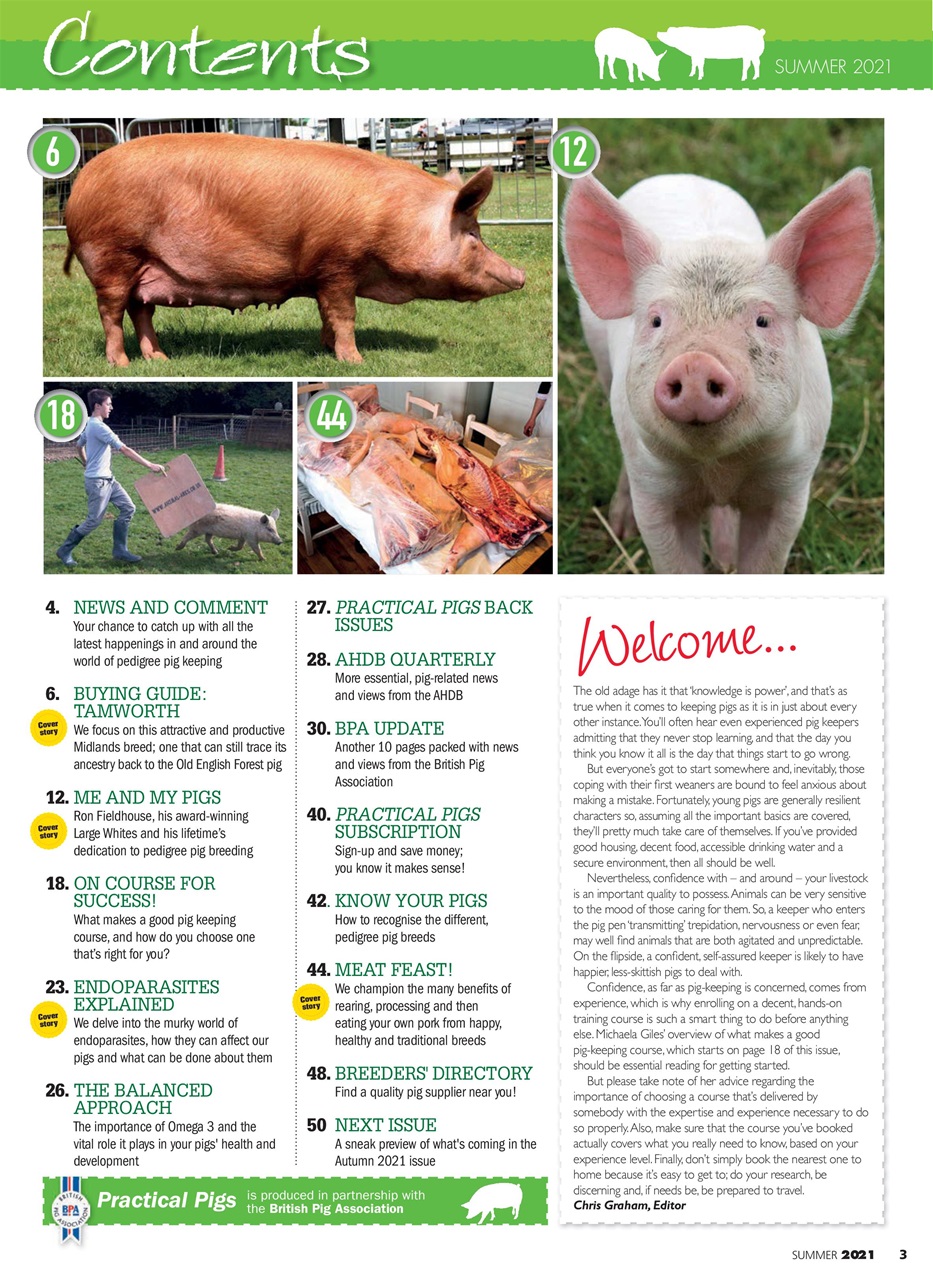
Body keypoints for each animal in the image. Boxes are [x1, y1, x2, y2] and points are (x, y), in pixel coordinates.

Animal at [63, 134, 525, 366]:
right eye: (474, 235)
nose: (522, 275)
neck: (391, 223)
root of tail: (80, 186)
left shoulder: (323, 275)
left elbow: (327, 314)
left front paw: (324, 349)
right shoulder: (339, 264)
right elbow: (345, 315)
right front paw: (354, 362)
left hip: (146, 267)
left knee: (141, 311)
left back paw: (159, 359)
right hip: (112, 255)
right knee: (111, 313)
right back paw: (121, 364)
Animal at [562, 169, 878, 573]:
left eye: (762, 320)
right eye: (656, 320)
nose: (695, 361)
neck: (720, 467)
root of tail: (679, 174)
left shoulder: (791, 486)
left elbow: (765, 561)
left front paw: (731, 564)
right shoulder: (654, 491)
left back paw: (724, 558)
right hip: (601, 361)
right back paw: (622, 529)